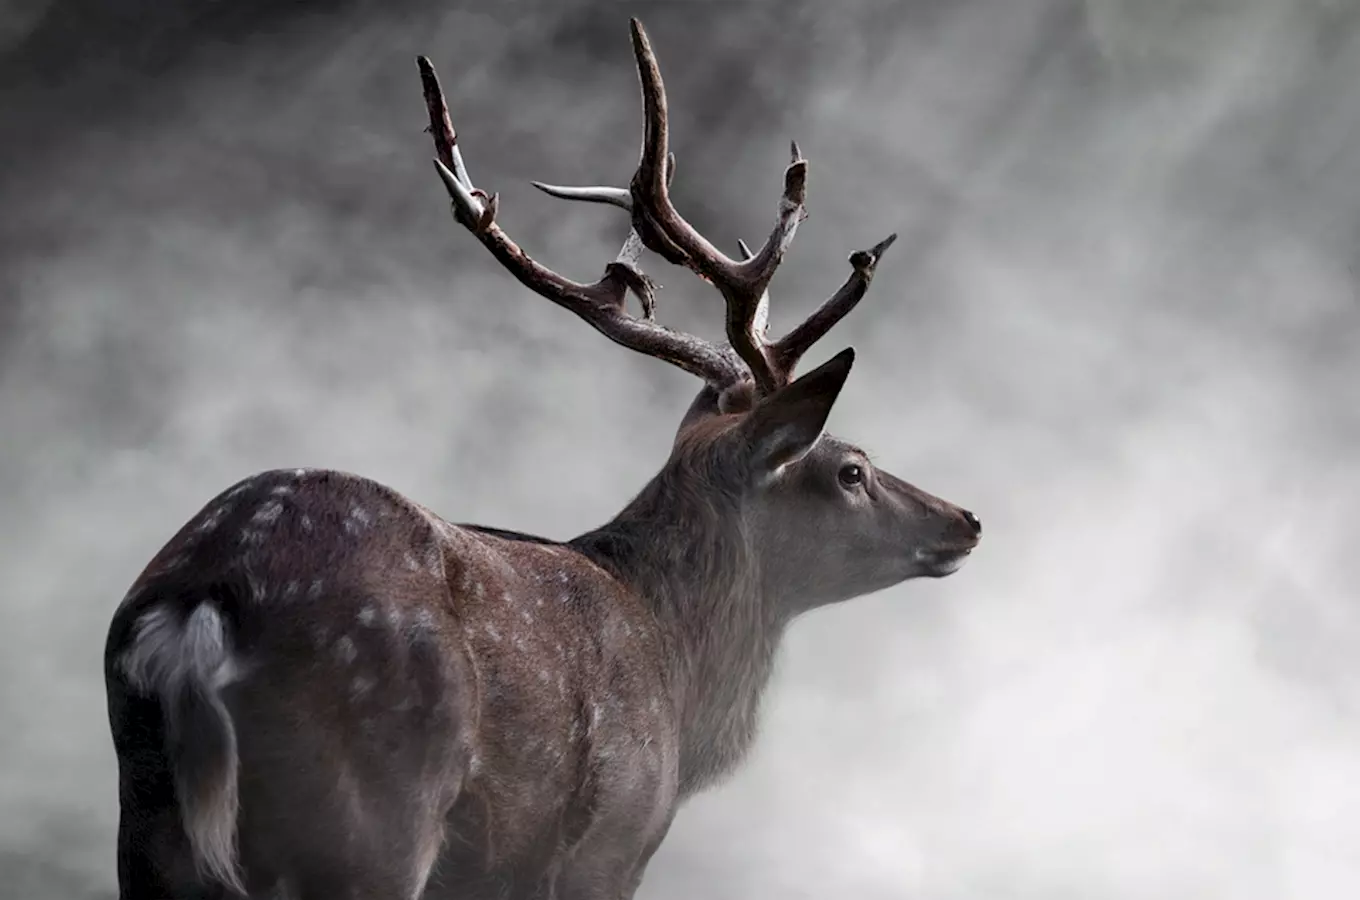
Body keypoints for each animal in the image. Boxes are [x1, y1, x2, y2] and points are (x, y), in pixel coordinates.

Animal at [100, 15, 984, 900]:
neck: (679, 671)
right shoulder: (612, 840)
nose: (965, 519)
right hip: (367, 808)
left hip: (150, 825)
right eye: (851, 470)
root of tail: (205, 594)